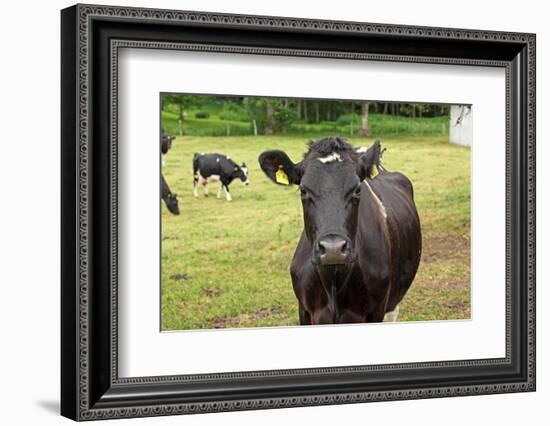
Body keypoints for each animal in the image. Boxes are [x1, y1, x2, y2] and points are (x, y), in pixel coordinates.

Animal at [258, 138, 422, 324]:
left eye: (357, 190)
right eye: (303, 190)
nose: (333, 249)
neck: (333, 283)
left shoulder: (377, 310)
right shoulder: (304, 310)